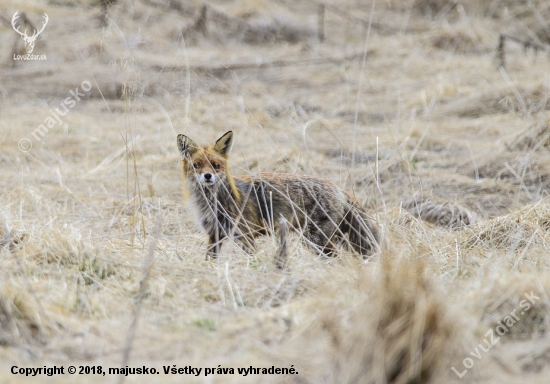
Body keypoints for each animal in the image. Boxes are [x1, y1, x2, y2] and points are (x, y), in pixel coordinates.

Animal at [177, 130, 380, 264]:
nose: (207, 176)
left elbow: (254, 258)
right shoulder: (215, 234)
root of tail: (338, 187)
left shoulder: (245, 235)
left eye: (215, 165)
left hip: (317, 241)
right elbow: (209, 260)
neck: (212, 202)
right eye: (197, 165)